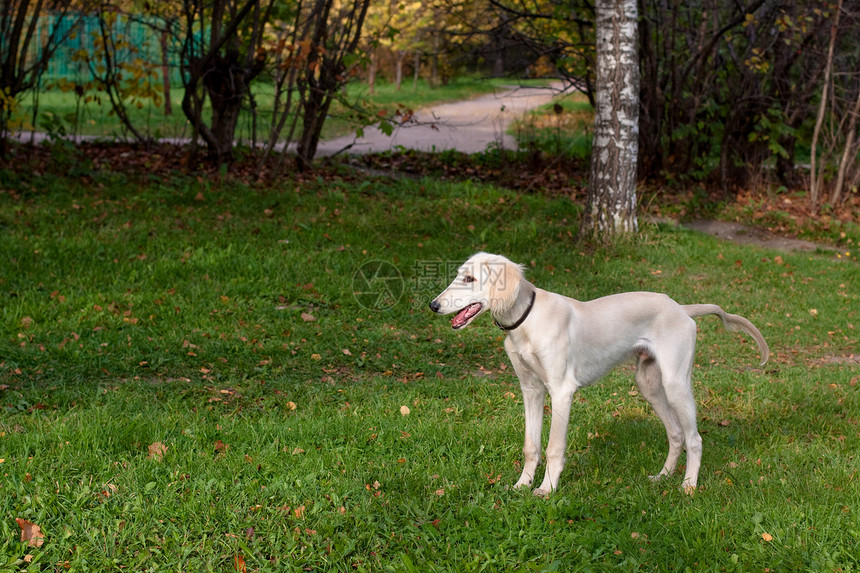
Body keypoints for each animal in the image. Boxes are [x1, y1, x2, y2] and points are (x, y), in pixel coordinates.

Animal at [430, 252, 772, 494]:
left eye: (470, 278)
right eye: (459, 275)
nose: (433, 305)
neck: (527, 320)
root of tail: (681, 308)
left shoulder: (561, 391)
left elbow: (553, 447)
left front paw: (546, 489)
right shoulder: (531, 390)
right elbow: (531, 446)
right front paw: (521, 485)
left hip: (676, 383)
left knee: (694, 438)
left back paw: (688, 485)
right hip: (648, 384)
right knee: (676, 434)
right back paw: (662, 477)